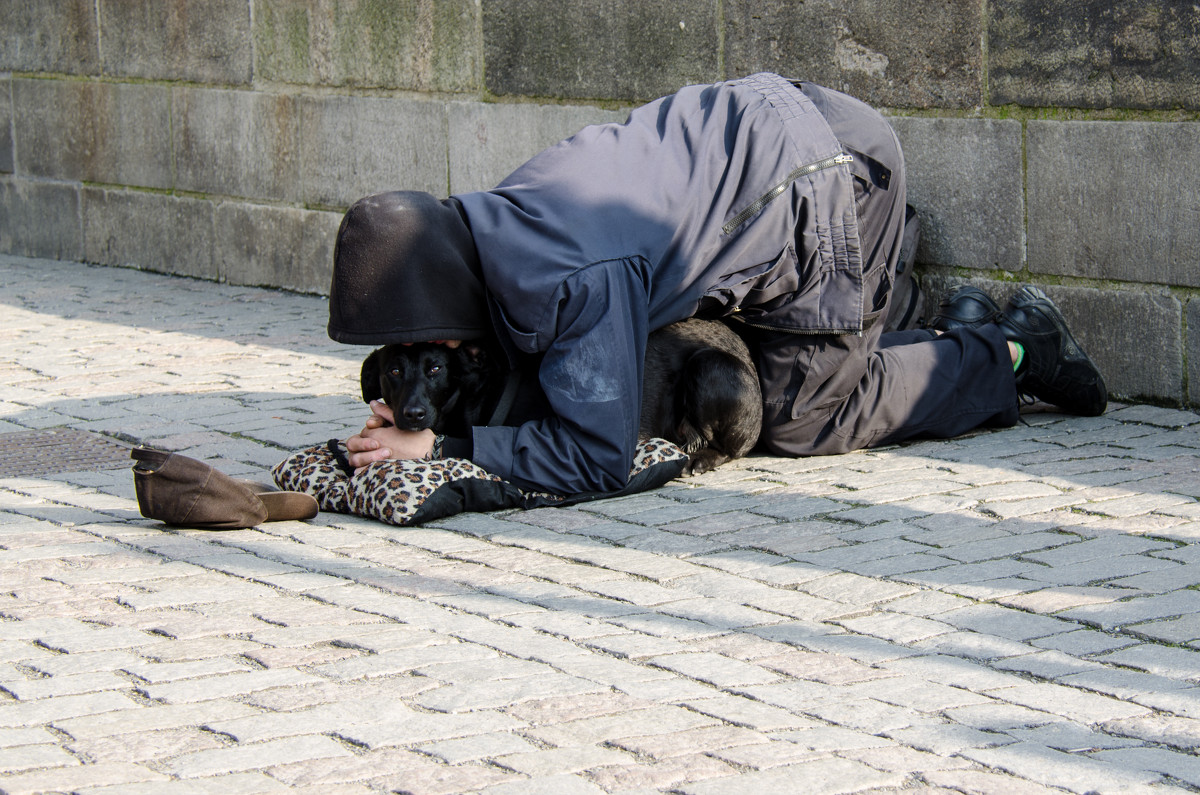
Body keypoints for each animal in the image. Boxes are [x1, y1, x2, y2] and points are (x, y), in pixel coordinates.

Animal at [360, 319, 763, 480]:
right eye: (393, 371)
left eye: (435, 369)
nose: (412, 414)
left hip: (708, 365)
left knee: (729, 447)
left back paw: (701, 458)